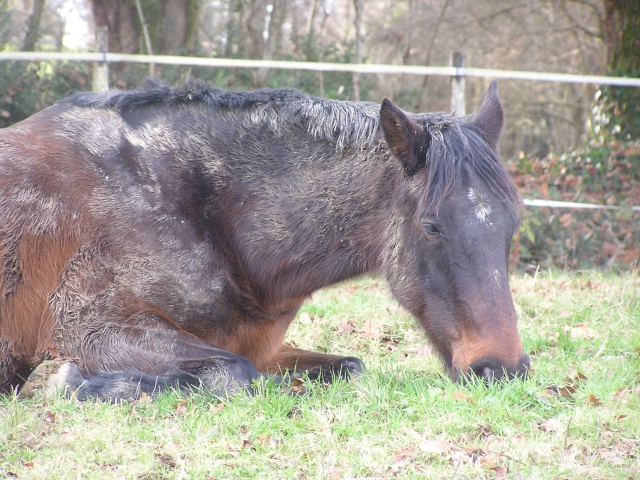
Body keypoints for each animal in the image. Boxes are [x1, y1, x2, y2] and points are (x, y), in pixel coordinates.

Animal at [0, 79, 528, 402]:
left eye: (513, 221)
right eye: (432, 226)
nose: (502, 369)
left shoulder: (264, 348)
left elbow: (348, 364)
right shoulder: (94, 328)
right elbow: (234, 373)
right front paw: (65, 381)